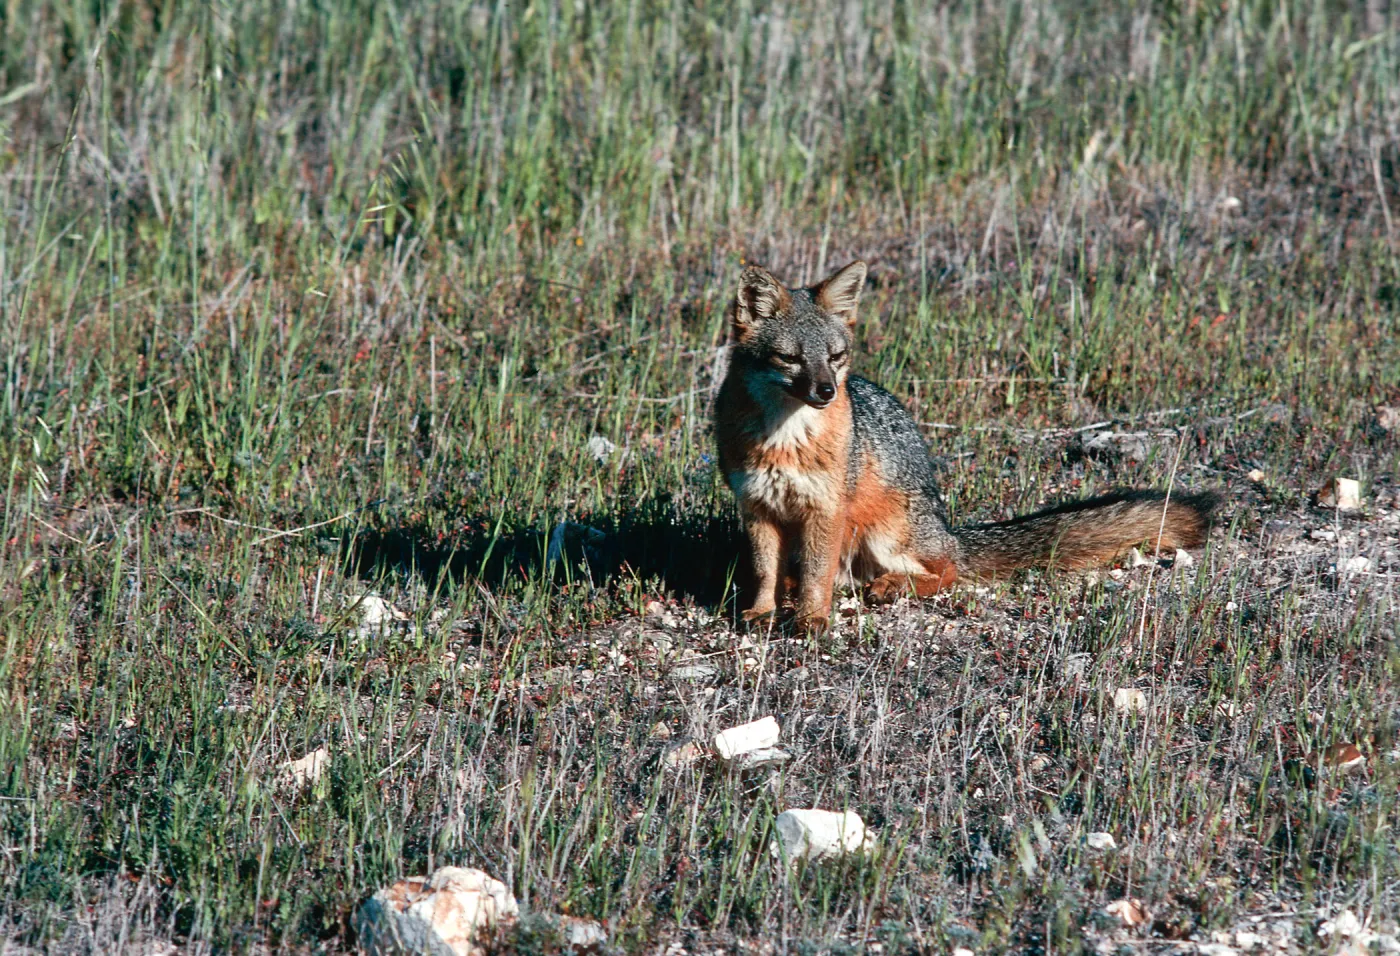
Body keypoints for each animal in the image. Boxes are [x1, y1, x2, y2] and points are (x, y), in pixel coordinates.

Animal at [714, 259, 1218, 631]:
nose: (827, 391)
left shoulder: (825, 509)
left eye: (835, 357)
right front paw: (761, 612)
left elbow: (817, 575)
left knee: (945, 571)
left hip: (885, 533)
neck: (782, 439)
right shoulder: (757, 506)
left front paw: (812, 620)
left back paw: (893, 586)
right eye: (790, 358)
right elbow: (764, 571)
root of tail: (950, 530)